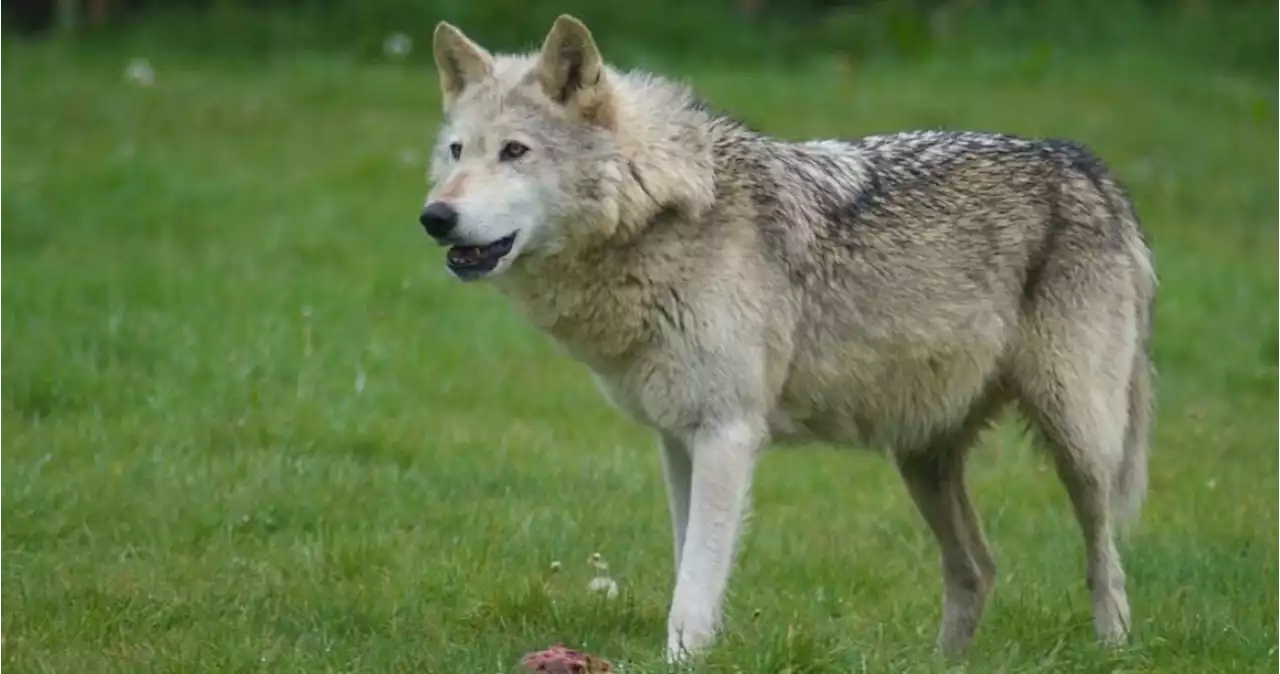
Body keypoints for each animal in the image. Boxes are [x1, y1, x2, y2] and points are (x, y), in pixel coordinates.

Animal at [419, 14, 1162, 665]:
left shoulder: (727, 435)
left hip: (1080, 443)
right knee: (978, 567)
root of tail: (1087, 166)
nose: (435, 216)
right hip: (922, 458)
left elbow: (694, 589)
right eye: (457, 152)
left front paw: (681, 660)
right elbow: (688, 565)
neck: (663, 218)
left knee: (1107, 563)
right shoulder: (676, 441)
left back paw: (1113, 651)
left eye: (515, 151)